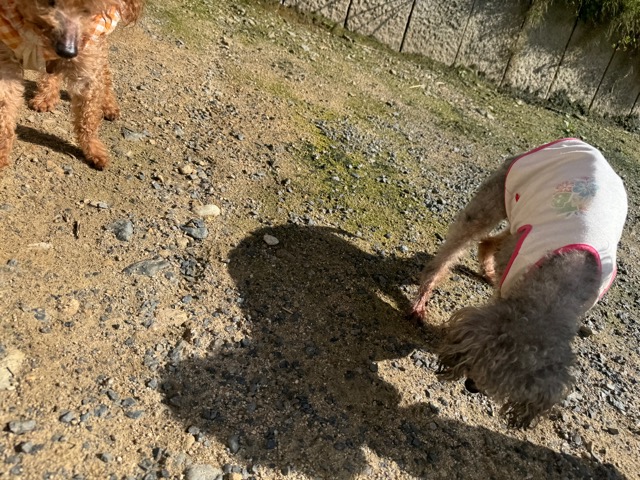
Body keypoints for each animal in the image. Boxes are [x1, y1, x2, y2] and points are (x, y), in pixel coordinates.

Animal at [0, 0, 143, 170]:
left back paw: (109, 106)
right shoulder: (6, 60)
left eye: (87, 10)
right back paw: (46, 97)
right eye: (50, 2)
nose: (67, 51)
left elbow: (88, 116)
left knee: (105, 74)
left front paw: (93, 149)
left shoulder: (87, 60)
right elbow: (4, 109)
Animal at [411, 138, 627, 428]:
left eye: (510, 389)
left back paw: (487, 270)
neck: (555, 291)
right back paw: (424, 294)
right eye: (480, 365)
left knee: (489, 241)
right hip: (499, 193)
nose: (471, 386)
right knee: (460, 244)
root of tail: (575, 140)